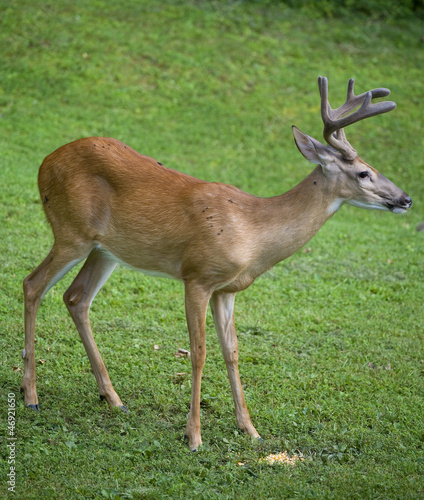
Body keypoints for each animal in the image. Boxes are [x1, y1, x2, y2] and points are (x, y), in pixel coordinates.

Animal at [22, 77, 410, 450]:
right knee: (32, 284)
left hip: (104, 250)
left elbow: (232, 352)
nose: (405, 199)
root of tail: (43, 163)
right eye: (363, 173)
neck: (252, 230)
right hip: (71, 232)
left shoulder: (228, 289)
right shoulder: (197, 276)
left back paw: (113, 398)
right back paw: (31, 395)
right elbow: (199, 352)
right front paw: (194, 436)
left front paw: (250, 430)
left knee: (76, 298)